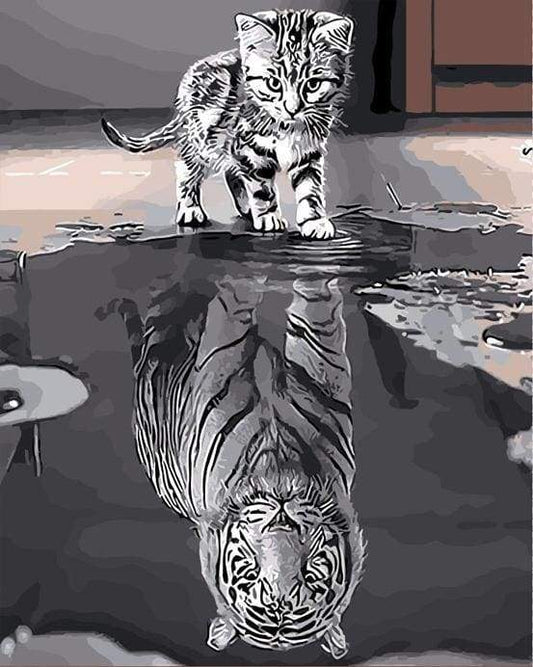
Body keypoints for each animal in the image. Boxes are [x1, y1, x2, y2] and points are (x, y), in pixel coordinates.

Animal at [101, 9, 354, 240]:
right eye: (273, 83)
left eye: (312, 84)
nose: (292, 109)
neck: (287, 127)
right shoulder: (250, 148)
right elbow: (262, 187)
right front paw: (269, 215)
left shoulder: (308, 152)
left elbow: (310, 189)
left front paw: (315, 221)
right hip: (201, 140)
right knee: (187, 170)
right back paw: (191, 208)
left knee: (231, 171)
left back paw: (246, 207)